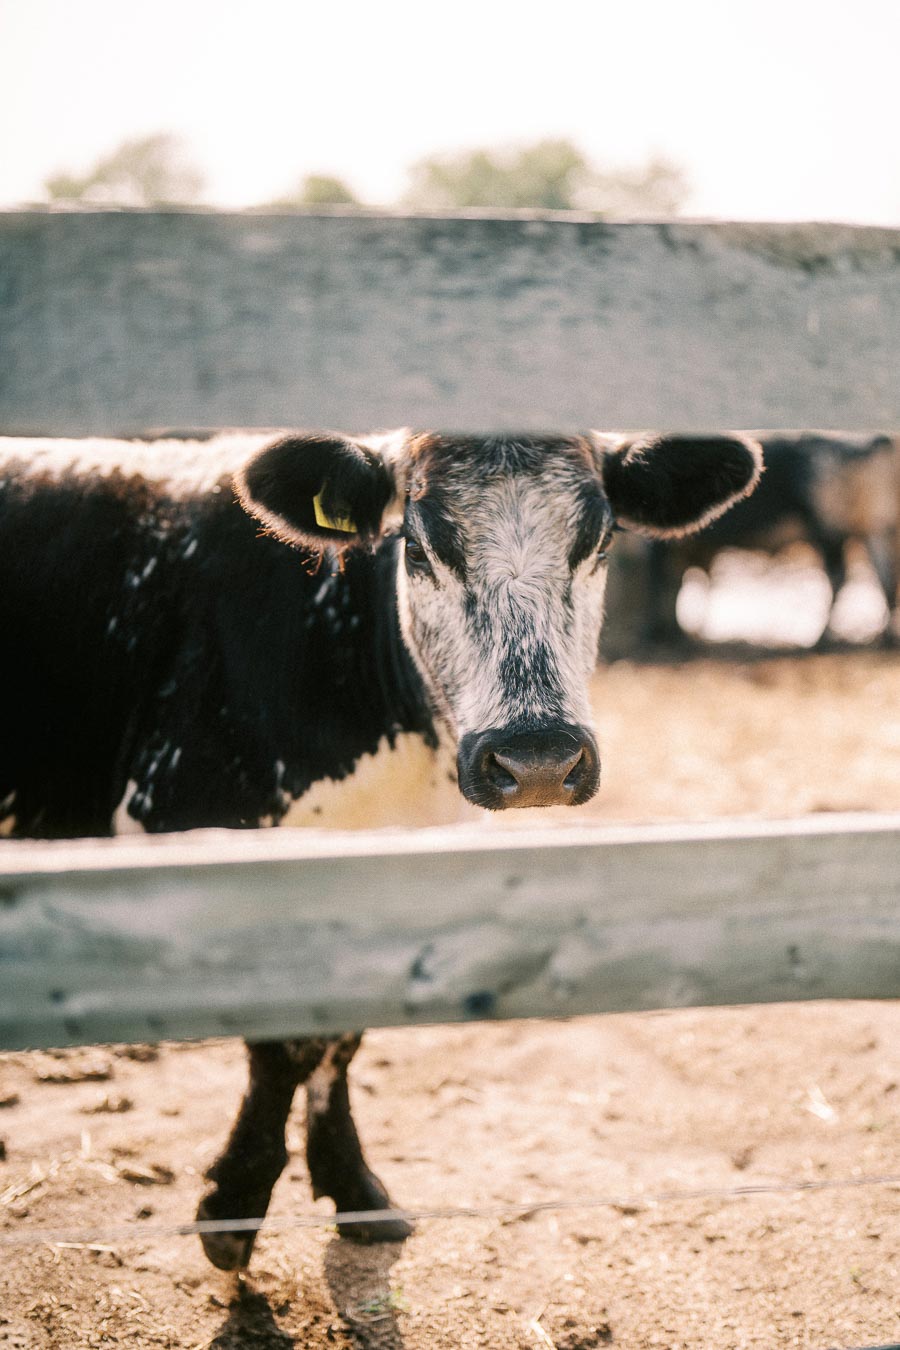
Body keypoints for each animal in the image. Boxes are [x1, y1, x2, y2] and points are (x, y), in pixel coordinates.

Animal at [0, 428, 762, 1269]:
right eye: (421, 545)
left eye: (598, 539)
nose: (537, 760)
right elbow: (285, 1044)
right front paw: (233, 1206)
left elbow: (342, 1036)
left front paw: (357, 1192)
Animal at [637, 432, 897, 650]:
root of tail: (875, 442)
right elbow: (680, 583)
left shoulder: (658, 544)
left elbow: (662, 582)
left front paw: (659, 634)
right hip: (874, 529)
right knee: (884, 577)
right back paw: (885, 638)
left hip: (828, 527)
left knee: (839, 576)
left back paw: (819, 638)